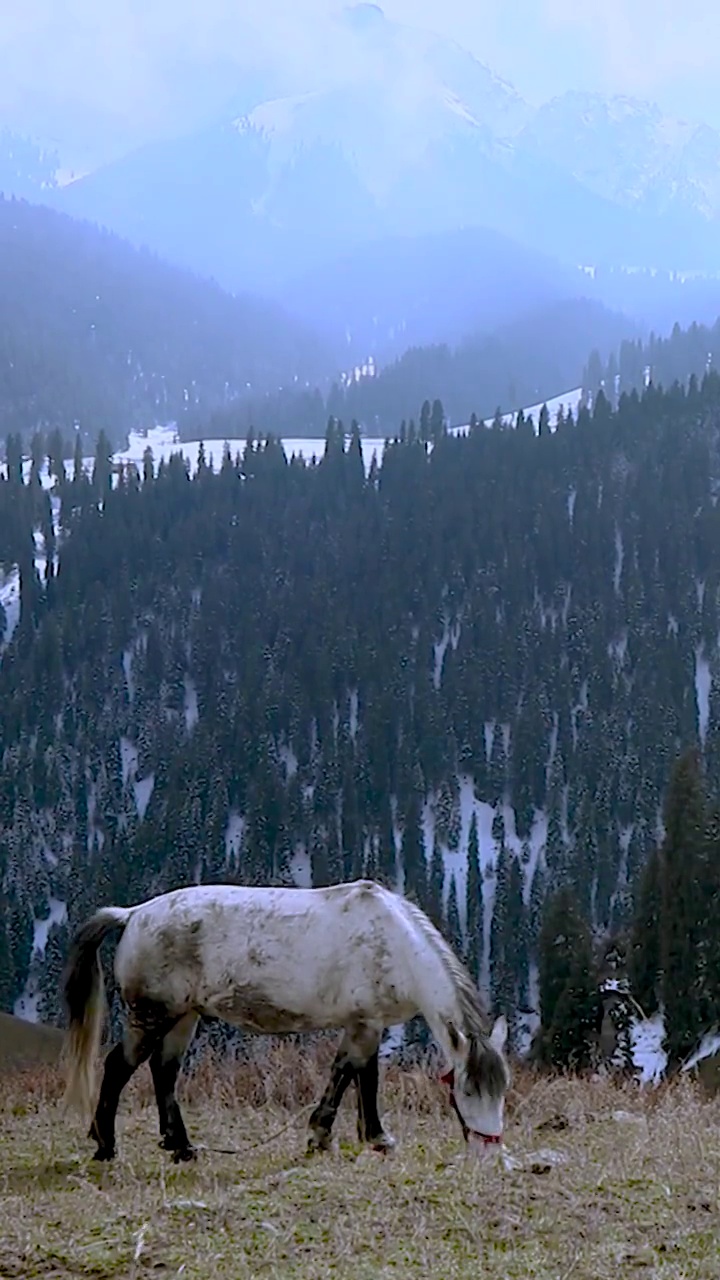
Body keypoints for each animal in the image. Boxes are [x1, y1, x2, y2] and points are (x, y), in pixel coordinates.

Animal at [63, 880, 509, 1162]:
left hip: (182, 1017)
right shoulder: (367, 1022)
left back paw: (181, 1147)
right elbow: (363, 1076)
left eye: (502, 1091)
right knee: (118, 1067)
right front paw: (374, 1138)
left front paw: (324, 1135)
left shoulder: (360, 1024)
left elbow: (345, 1072)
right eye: (468, 1091)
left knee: (164, 1071)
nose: (489, 1152)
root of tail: (133, 914)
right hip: (151, 1016)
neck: (394, 944)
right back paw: (106, 1146)